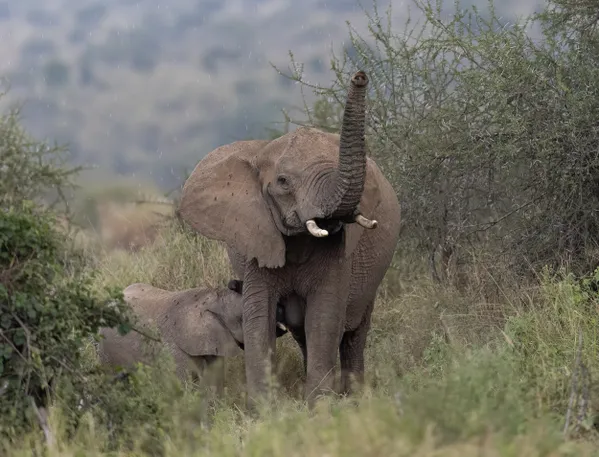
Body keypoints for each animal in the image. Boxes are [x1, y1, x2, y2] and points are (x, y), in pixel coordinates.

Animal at [179, 70, 404, 406]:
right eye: (283, 182)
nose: (360, 76)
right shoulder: (257, 243)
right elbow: (259, 316)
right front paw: (265, 408)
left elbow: (324, 316)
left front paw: (320, 405)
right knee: (303, 333)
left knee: (353, 332)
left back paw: (354, 397)